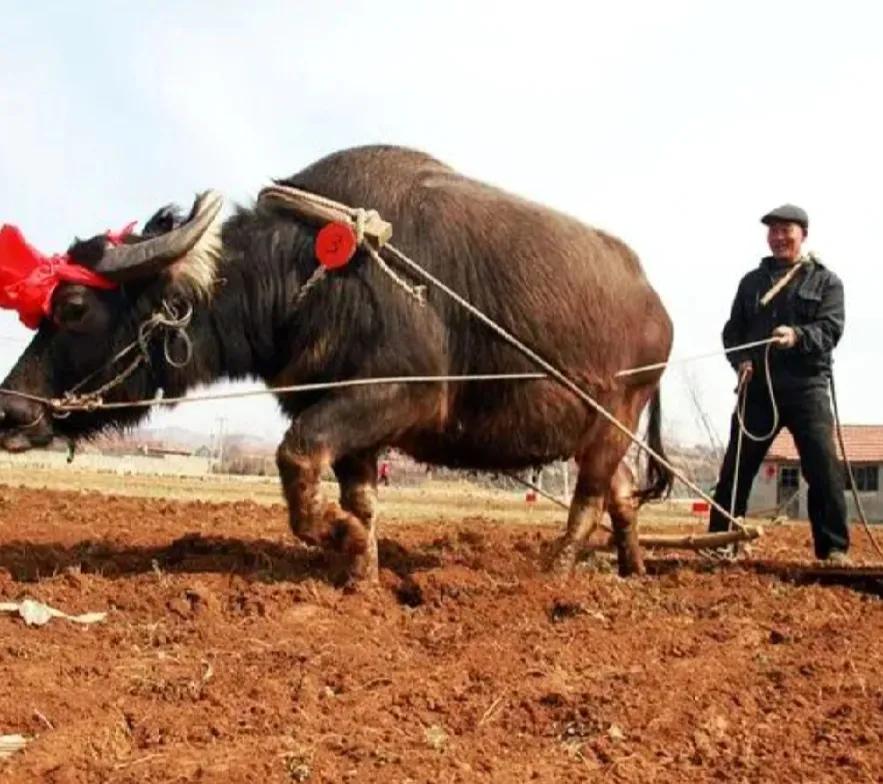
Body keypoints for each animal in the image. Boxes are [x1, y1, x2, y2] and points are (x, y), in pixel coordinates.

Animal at [0, 145, 672, 580]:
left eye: (75, 306)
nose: (11, 407)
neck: (308, 273)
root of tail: (656, 307)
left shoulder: (402, 393)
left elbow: (296, 455)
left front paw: (340, 539)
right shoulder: (350, 418)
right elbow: (360, 497)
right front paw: (360, 568)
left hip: (617, 415)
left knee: (589, 497)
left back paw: (554, 574)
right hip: (598, 429)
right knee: (621, 492)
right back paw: (633, 569)